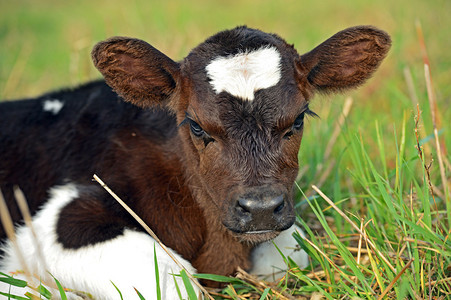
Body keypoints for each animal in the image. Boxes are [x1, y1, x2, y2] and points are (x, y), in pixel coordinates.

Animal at [0, 25, 390, 298]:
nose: (261, 209)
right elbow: (177, 281)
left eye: (298, 119)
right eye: (197, 125)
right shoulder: (56, 220)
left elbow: (289, 256)